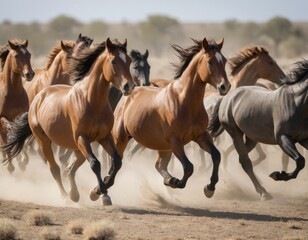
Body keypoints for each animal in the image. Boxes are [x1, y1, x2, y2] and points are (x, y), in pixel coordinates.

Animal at [0, 39, 35, 172]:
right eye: (16, 56)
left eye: (29, 54)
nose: (30, 74)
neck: (13, 93)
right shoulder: (1, 119)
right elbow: (7, 136)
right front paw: (10, 166)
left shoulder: (21, 115)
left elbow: (20, 132)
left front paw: (23, 161)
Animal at [109, 37, 230, 199]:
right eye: (210, 61)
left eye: (224, 60)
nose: (225, 86)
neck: (185, 101)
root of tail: (130, 92)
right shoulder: (175, 141)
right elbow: (188, 167)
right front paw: (177, 182)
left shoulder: (201, 136)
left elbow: (216, 156)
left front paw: (209, 188)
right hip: (121, 137)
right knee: (116, 161)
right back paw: (100, 189)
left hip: (162, 147)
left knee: (158, 165)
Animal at [208, 60, 308, 201]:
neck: (297, 102)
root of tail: (227, 97)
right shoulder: (283, 138)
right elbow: (300, 161)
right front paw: (277, 175)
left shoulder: (303, 139)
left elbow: (301, 161)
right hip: (235, 133)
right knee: (245, 162)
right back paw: (262, 192)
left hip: (251, 138)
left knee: (238, 158)